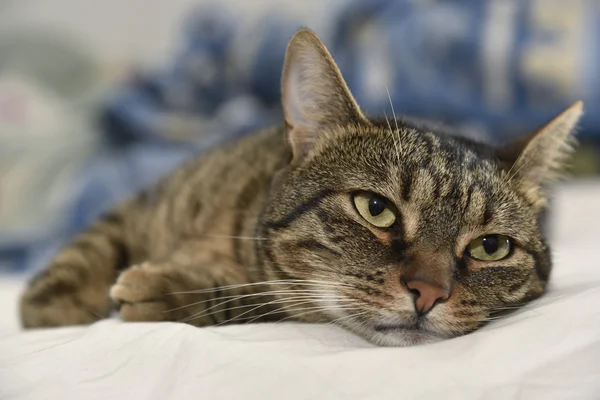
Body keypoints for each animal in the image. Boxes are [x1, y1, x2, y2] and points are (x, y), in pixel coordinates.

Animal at [21, 28, 584, 346]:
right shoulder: (140, 205)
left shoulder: (272, 300)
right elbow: (81, 259)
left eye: (490, 247)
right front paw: (53, 311)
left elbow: (257, 298)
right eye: (375, 208)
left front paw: (169, 291)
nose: (428, 293)